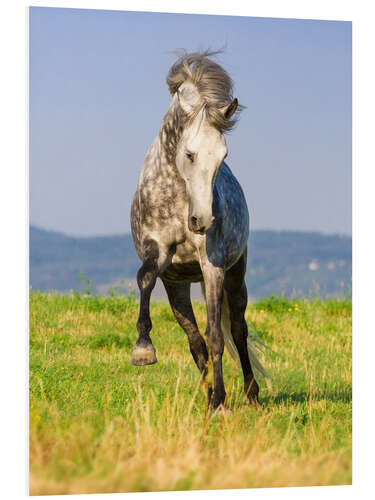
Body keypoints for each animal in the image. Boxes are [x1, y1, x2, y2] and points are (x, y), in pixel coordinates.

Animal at [131, 50, 266, 412]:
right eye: (189, 153)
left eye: (223, 155)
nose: (202, 221)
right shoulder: (158, 254)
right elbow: (144, 278)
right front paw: (143, 350)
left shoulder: (213, 267)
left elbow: (217, 336)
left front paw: (220, 401)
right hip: (177, 285)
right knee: (195, 342)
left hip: (235, 275)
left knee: (238, 331)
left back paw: (249, 394)